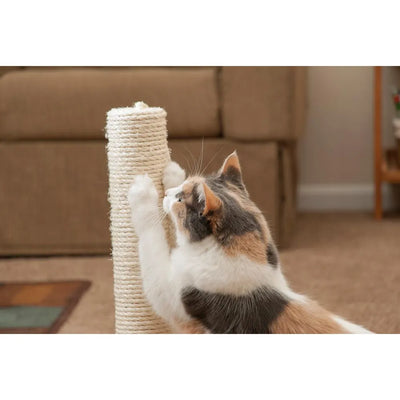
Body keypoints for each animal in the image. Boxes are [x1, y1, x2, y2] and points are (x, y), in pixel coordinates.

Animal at [129, 152, 372, 332]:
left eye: (180, 200)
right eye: (181, 189)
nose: (168, 194)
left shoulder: (169, 294)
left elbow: (151, 239)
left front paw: (142, 192)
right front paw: (173, 172)